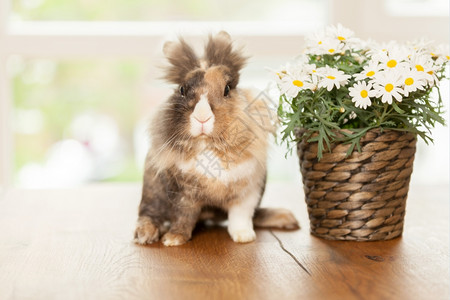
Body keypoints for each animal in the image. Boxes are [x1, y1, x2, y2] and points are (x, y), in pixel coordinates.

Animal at [135, 31, 300, 246]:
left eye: (227, 89)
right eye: (181, 90)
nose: (202, 117)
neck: (209, 146)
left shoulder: (247, 194)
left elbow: (240, 217)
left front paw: (244, 237)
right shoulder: (182, 195)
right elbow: (182, 217)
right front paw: (173, 239)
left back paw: (284, 217)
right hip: (152, 192)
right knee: (148, 213)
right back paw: (146, 234)